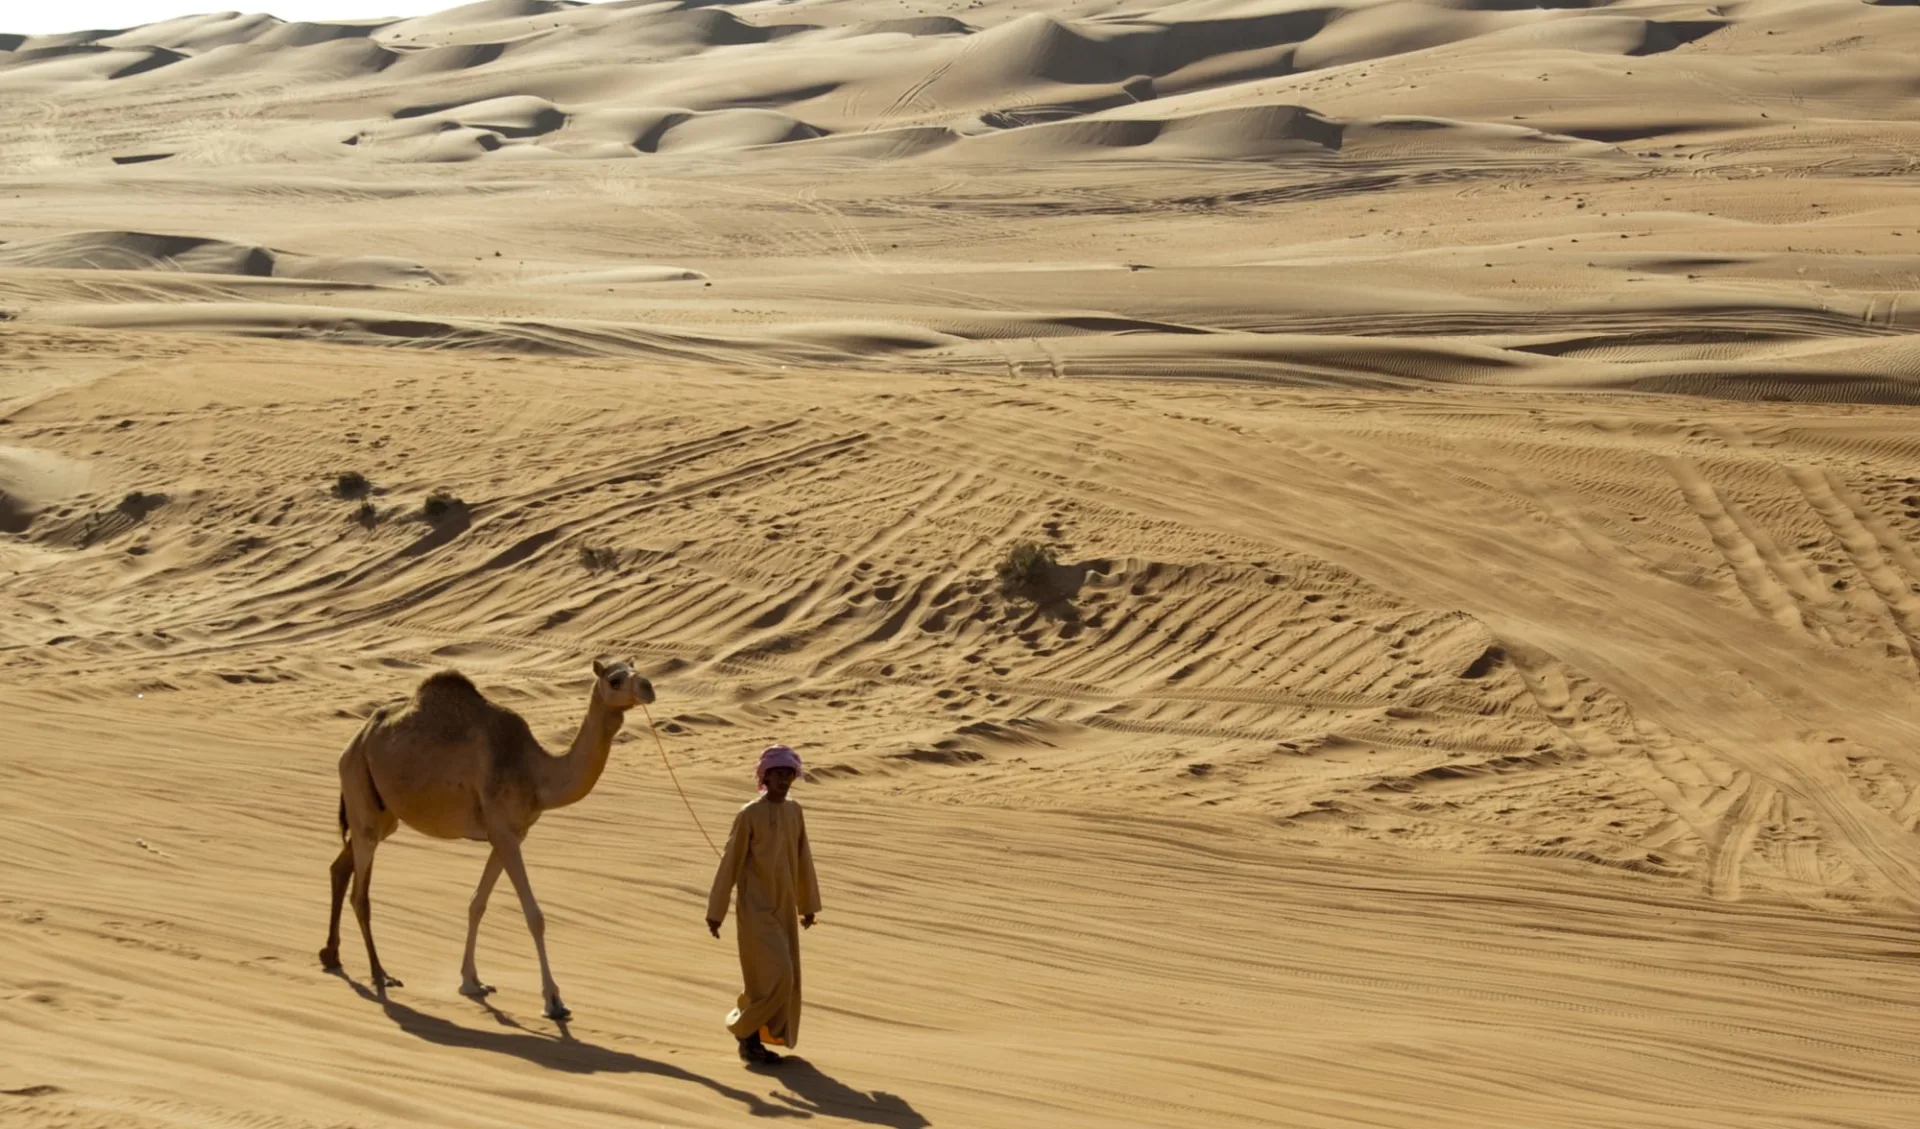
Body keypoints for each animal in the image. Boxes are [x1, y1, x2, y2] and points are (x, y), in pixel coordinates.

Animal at [318, 656, 656, 1021]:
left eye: (636, 669)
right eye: (615, 680)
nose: (648, 687)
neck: (536, 773)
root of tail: (356, 739)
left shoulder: (509, 833)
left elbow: (476, 903)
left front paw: (472, 981)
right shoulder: (504, 832)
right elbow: (534, 916)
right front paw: (553, 1001)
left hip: (382, 812)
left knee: (340, 866)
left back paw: (331, 955)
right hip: (359, 789)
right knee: (360, 894)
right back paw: (381, 974)